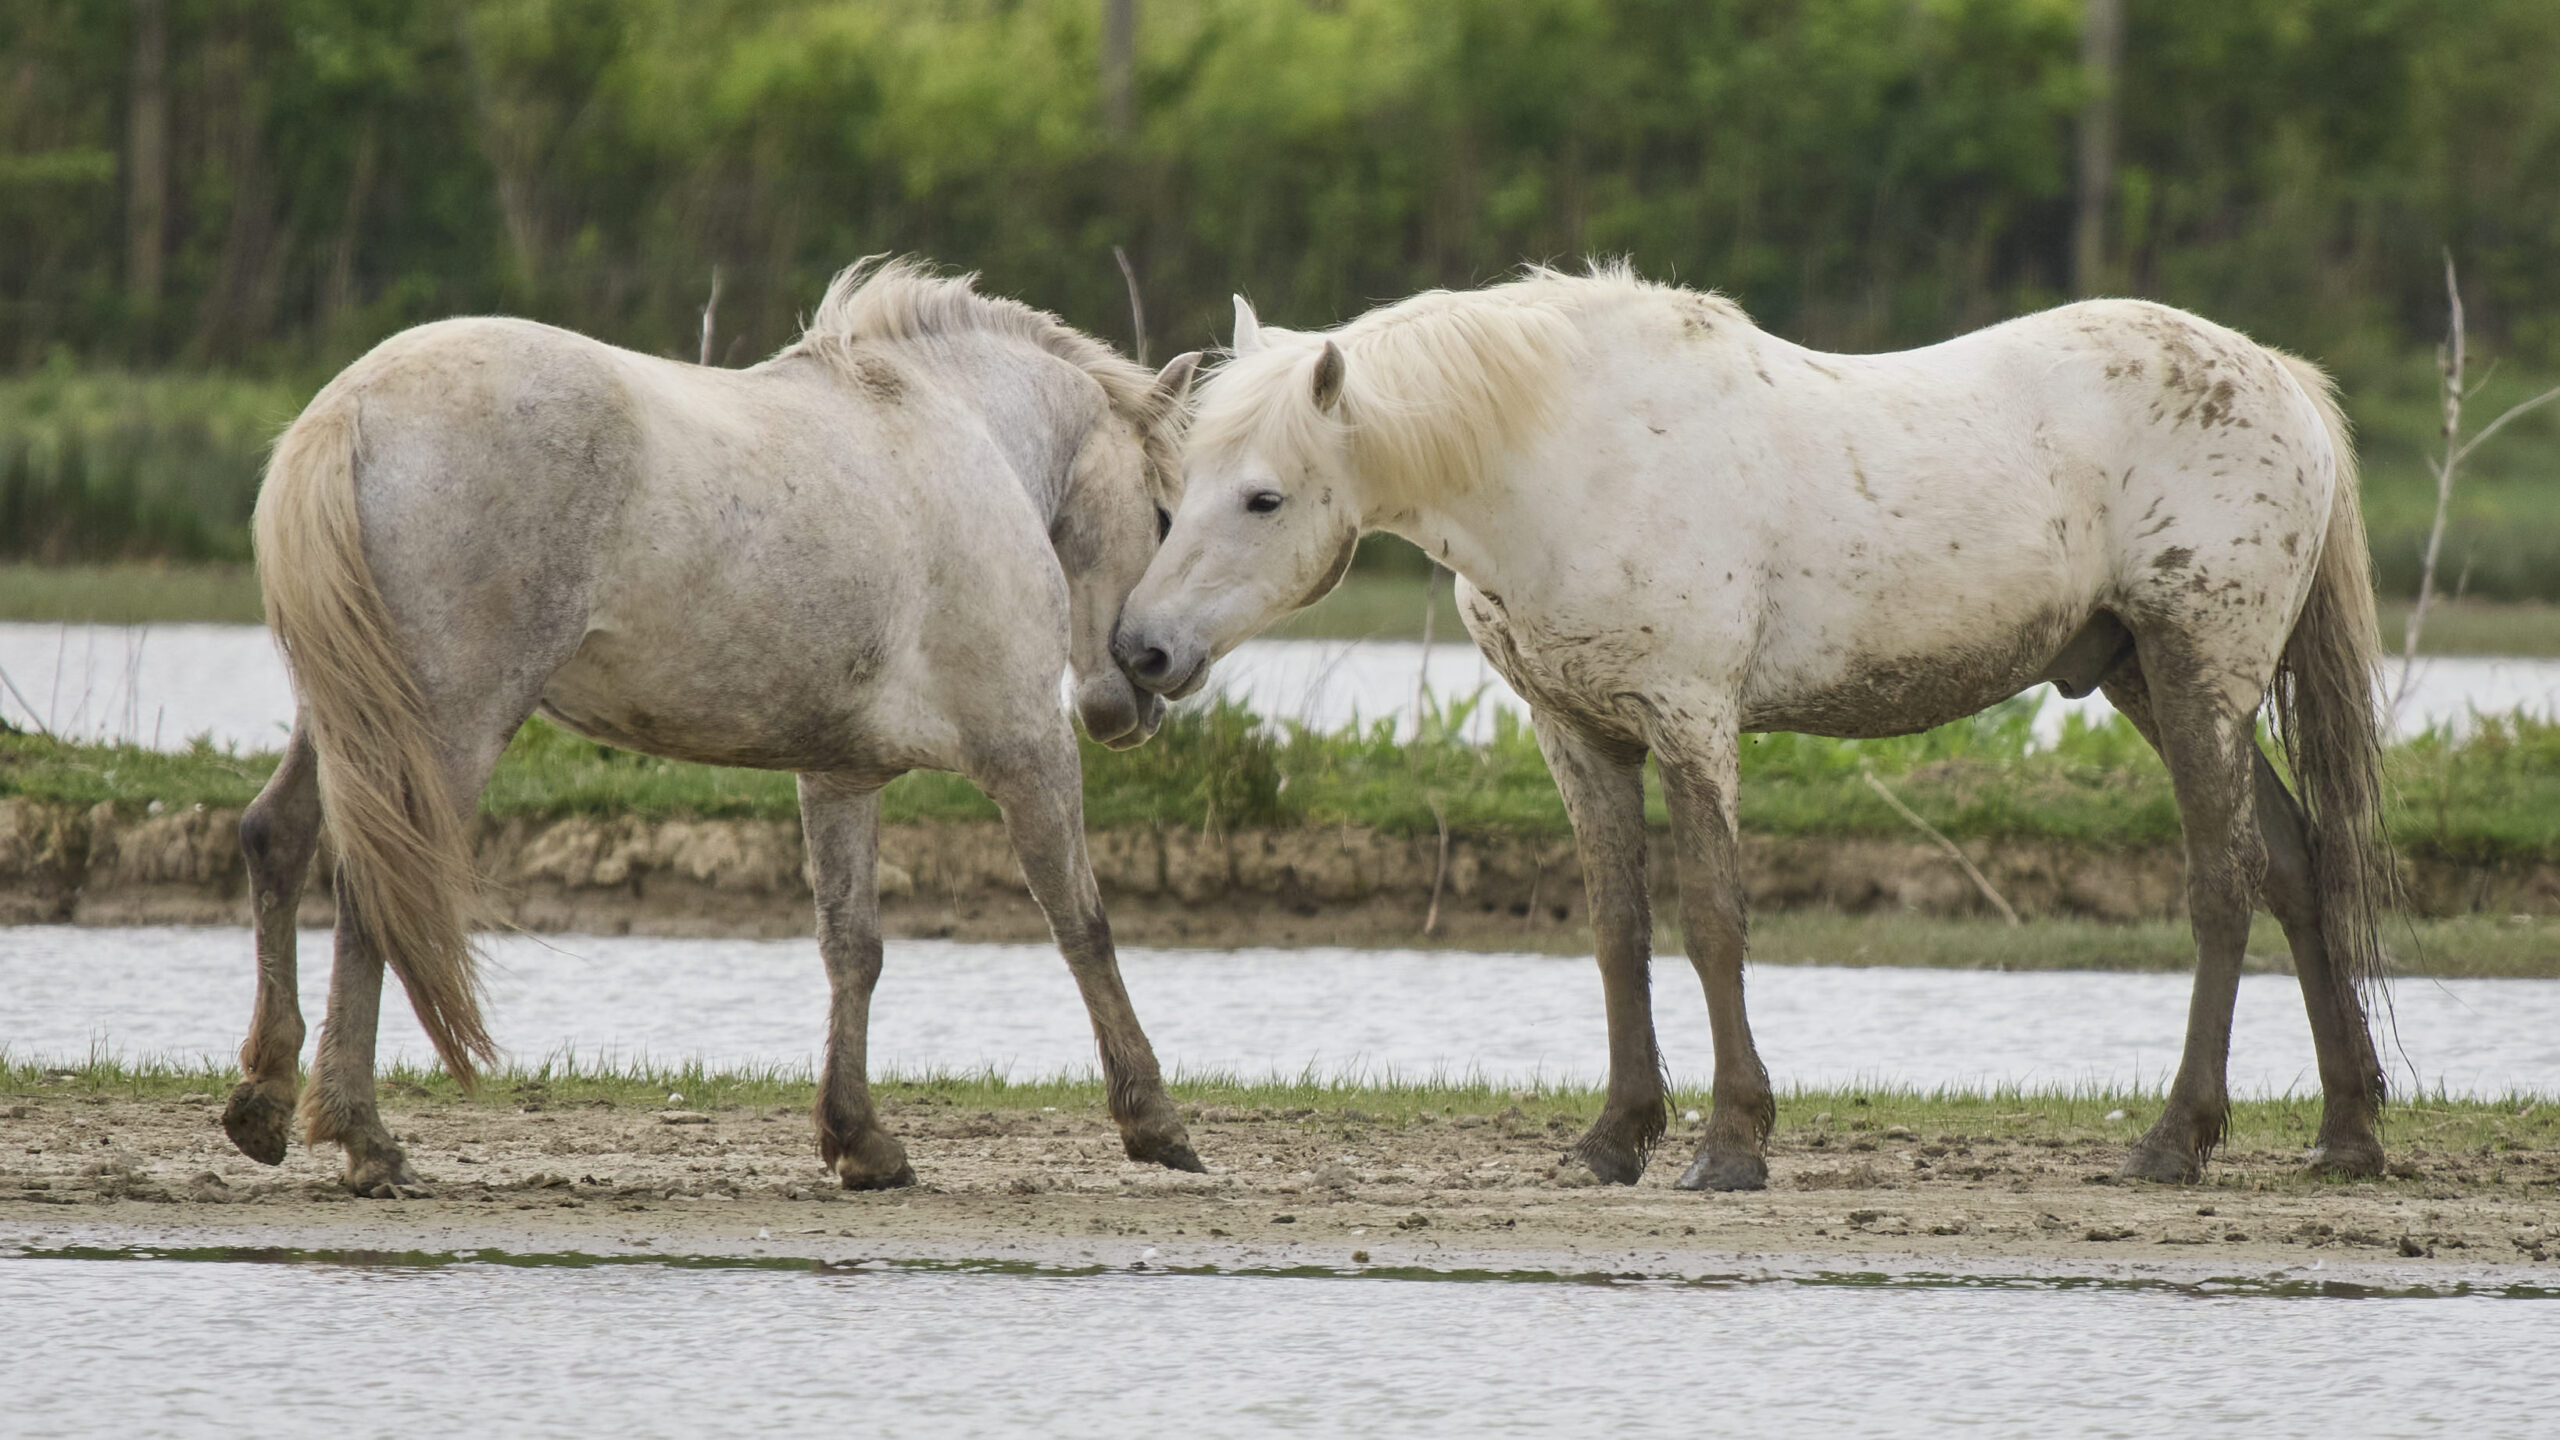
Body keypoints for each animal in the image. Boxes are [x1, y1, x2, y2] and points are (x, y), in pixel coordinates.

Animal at [230, 254, 1208, 1188]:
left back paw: (265, 1102)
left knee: (278, 834)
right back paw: (365, 1138)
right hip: (443, 727)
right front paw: (1154, 1121)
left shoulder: (840, 776)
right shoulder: (1027, 750)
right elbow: (1082, 924)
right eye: (1166, 516)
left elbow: (852, 947)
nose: (1154, 674)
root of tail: (350, 408)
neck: (963, 431)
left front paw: (860, 1140)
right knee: (376, 885)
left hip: (349, 712)